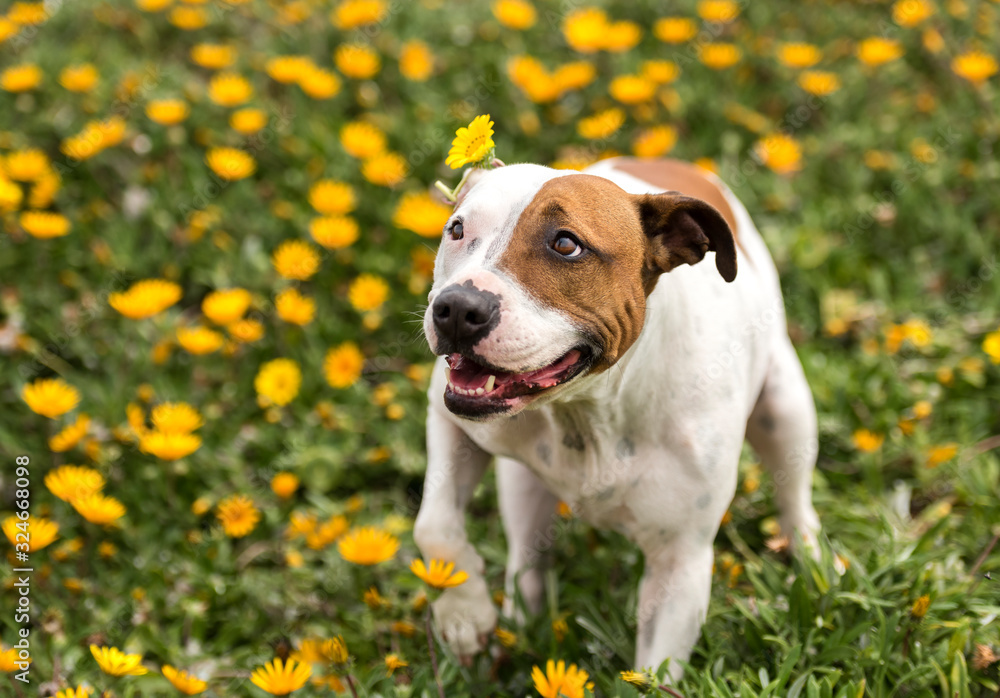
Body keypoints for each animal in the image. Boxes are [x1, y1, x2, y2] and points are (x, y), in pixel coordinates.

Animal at [414, 156, 820, 676]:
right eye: (457, 229)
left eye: (566, 244)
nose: (457, 307)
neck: (591, 407)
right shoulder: (452, 418)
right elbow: (435, 525)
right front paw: (465, 616)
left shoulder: (680, 563)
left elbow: (653, 671)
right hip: (523, 486)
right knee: (526, 553)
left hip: (786, 409)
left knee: (795, 496)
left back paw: (815, 563)